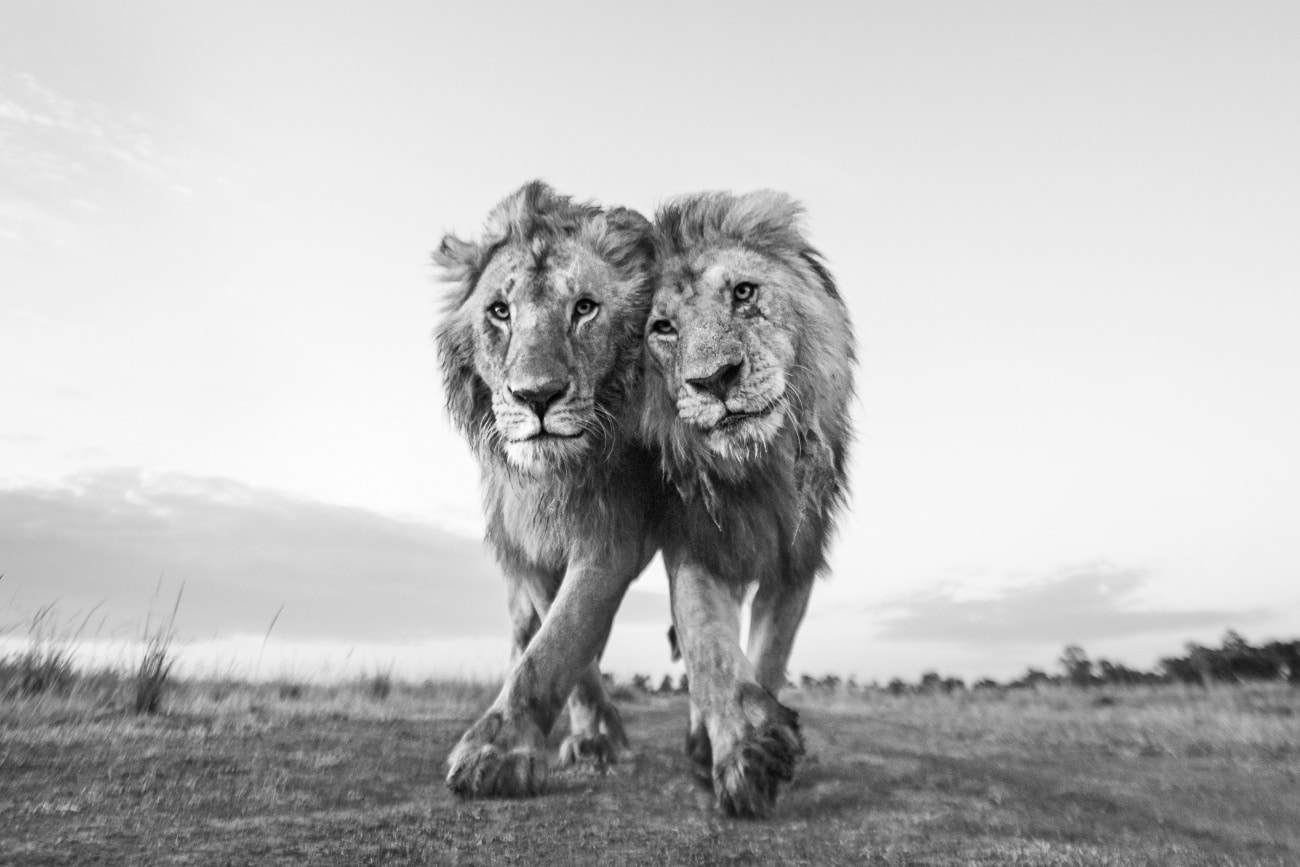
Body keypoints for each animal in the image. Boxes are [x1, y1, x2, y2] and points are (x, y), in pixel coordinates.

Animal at [434, 181, 660, 800]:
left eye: (584, 308)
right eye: (500, 311)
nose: (537, 396)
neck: (554, 479)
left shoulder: (612, 539)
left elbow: (563, 641)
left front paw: (498, 750)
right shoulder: (527, 550)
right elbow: (553, 650)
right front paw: (590, 736)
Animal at [639, 191, 852, 821]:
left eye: (743, 293)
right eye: (663, 327)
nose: (714, 380)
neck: (758, 470)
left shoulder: (797, 560)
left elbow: (769, 656)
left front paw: (757, 738)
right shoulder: (694, 543)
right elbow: (710, 651)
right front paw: (744, 757)